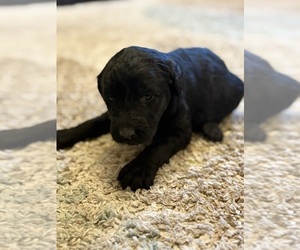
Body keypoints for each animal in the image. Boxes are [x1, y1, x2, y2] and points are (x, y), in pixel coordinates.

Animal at [56, 47, 244, 190]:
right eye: (110, 98)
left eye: (147, 96)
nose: (126, 134)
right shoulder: (111, 118)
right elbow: (91, 123)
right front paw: (62, 135)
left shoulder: (179, 130)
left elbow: (157, 146)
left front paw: (137, 169)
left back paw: (211, 129)